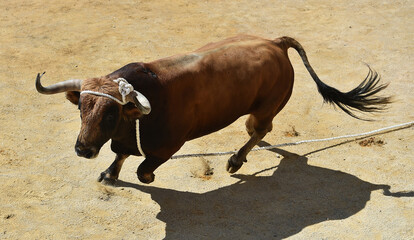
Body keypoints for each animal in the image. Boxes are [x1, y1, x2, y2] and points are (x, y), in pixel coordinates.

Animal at [35, 34, 392, 184]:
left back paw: (235, 160)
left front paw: (146, 178)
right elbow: (121, 154)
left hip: (265, 106)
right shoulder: (125, 140)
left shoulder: (167, 147)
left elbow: (142, 168)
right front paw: (109, 174)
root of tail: (276, 43)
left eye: (111, 114)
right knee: (258, 130)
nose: (82, 150)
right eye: (81, 109)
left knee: (261, 128)